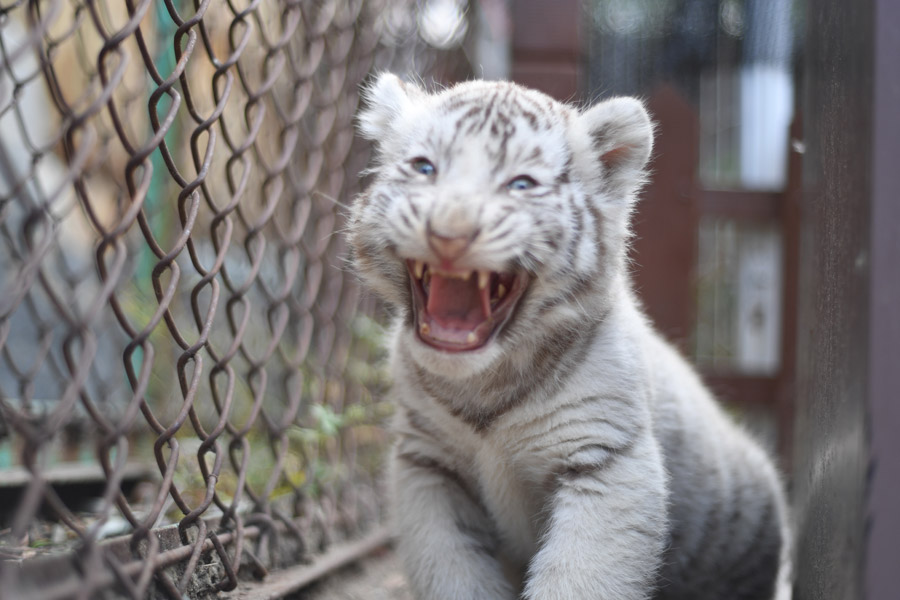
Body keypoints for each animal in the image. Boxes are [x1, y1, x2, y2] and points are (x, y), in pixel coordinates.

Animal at [348, 73, 792, 600]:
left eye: (521, 184)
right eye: (424, 167)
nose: (449, 234)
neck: (483, 384)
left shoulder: (607, 458)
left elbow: (581, 576)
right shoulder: (427, 465)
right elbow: (451, 569)